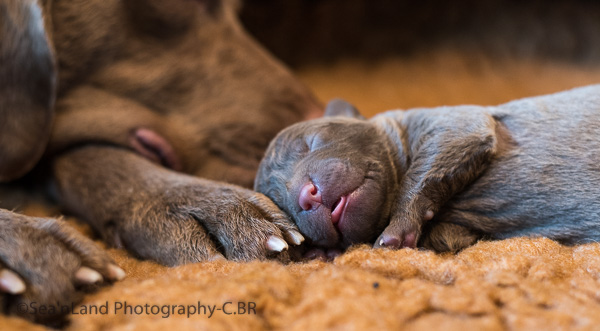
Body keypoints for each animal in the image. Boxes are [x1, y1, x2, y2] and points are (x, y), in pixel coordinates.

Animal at [255, 85, 600, 256]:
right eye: (283, 204)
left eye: (309, 143)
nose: (307, 197)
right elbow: (449, 238)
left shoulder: (458, 124)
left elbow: (423, 171)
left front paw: (397, 230)